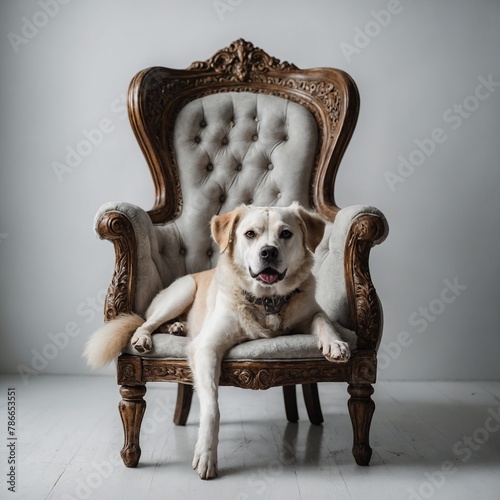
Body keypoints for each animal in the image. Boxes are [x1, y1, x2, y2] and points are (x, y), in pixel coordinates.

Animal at [85, 203, 352, 480]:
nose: (268, 252)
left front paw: (335, 344)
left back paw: (178, 328)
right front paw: (206, 456)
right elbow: (212, 407)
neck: (267, 301)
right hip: (182, 292)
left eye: (286, 234)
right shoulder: (207, 347)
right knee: (147, 321)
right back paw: (144, 336)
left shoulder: (310, 312)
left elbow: (323, 319)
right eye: (250, 234)